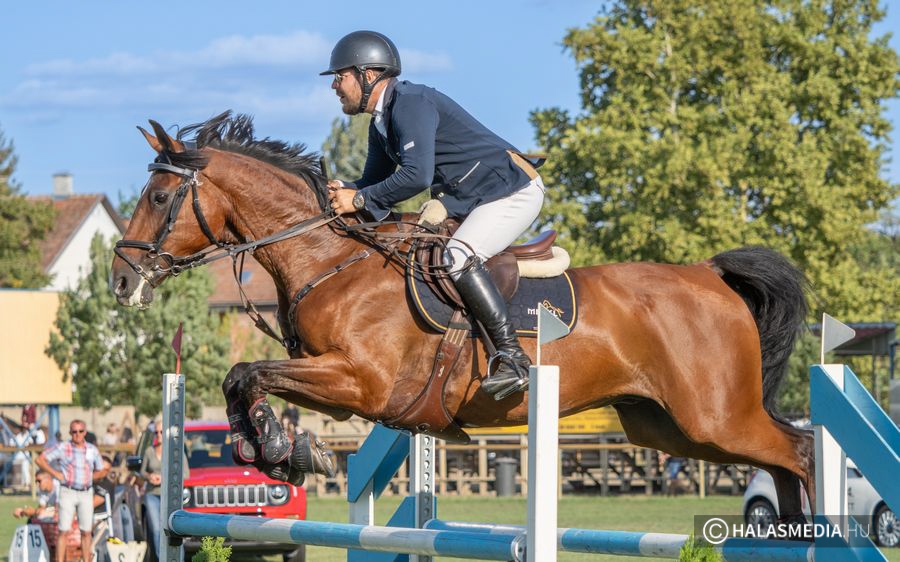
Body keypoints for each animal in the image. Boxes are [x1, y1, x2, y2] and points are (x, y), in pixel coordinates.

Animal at [110, 112, 816, 520]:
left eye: (161, 197)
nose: (120, 280)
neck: (332, 260)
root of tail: (707, 274)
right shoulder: (330, 380)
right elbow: (241, 379)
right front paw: (279, 451)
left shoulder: (359, 382)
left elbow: (251, 373)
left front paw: (287, 450)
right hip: (669, 428)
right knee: (780, 461)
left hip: (716, 416)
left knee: (801, 451)